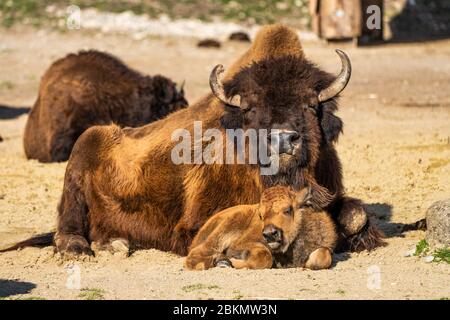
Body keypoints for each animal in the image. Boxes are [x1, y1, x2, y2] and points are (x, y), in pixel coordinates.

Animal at [185, 185, 336, 270]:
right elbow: (264, 256)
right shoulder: (240, 245)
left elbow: (323, 256)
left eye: (288, 210)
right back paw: (220, 262)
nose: (270, 234)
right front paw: (232, 261)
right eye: (261, 216)